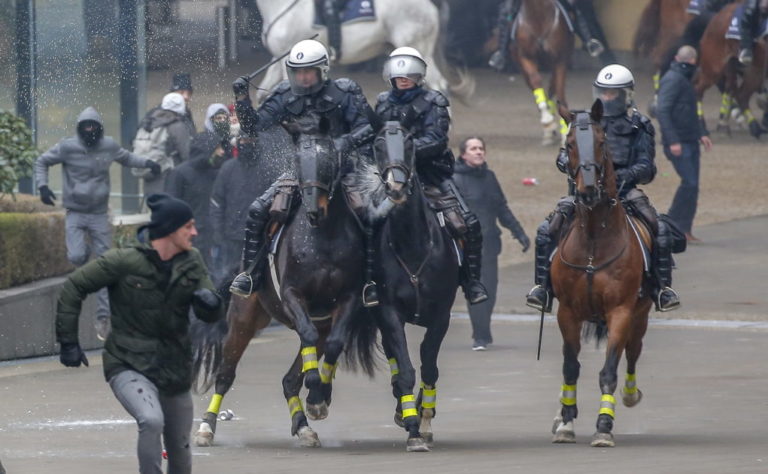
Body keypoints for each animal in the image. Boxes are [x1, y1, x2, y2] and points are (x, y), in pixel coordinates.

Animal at [191, 127, 372, 448]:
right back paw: (206, 427)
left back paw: (303, 425)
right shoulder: (292, 295)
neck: (322, 238)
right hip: (243, 319)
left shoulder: (348, 299)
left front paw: (319, 398)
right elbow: (307, 333)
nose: (314, 209)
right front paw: (316, 391)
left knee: (291, 378)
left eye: (330, 162)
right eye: (299, 161)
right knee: (225, 374)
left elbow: (334, 344)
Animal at [352, 121, 460, 452]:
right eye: (377, 144)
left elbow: (429, 365)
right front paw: (412, 427)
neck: (413, 245)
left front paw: (424, 420)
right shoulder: (388, 313)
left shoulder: (441, 315)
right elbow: (406, 367)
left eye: (411, 142)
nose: (396, 187)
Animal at [548, 100, 652, 448]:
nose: (589, 191)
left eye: (601, 142)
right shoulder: (567, 312)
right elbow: (569, 367)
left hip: (640, 315)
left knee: (632, 353)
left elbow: (609, 370)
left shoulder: (621, 311)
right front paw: (566, 421)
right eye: (568, 145)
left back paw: (630, 394)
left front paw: (604, 426)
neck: (594, 236)